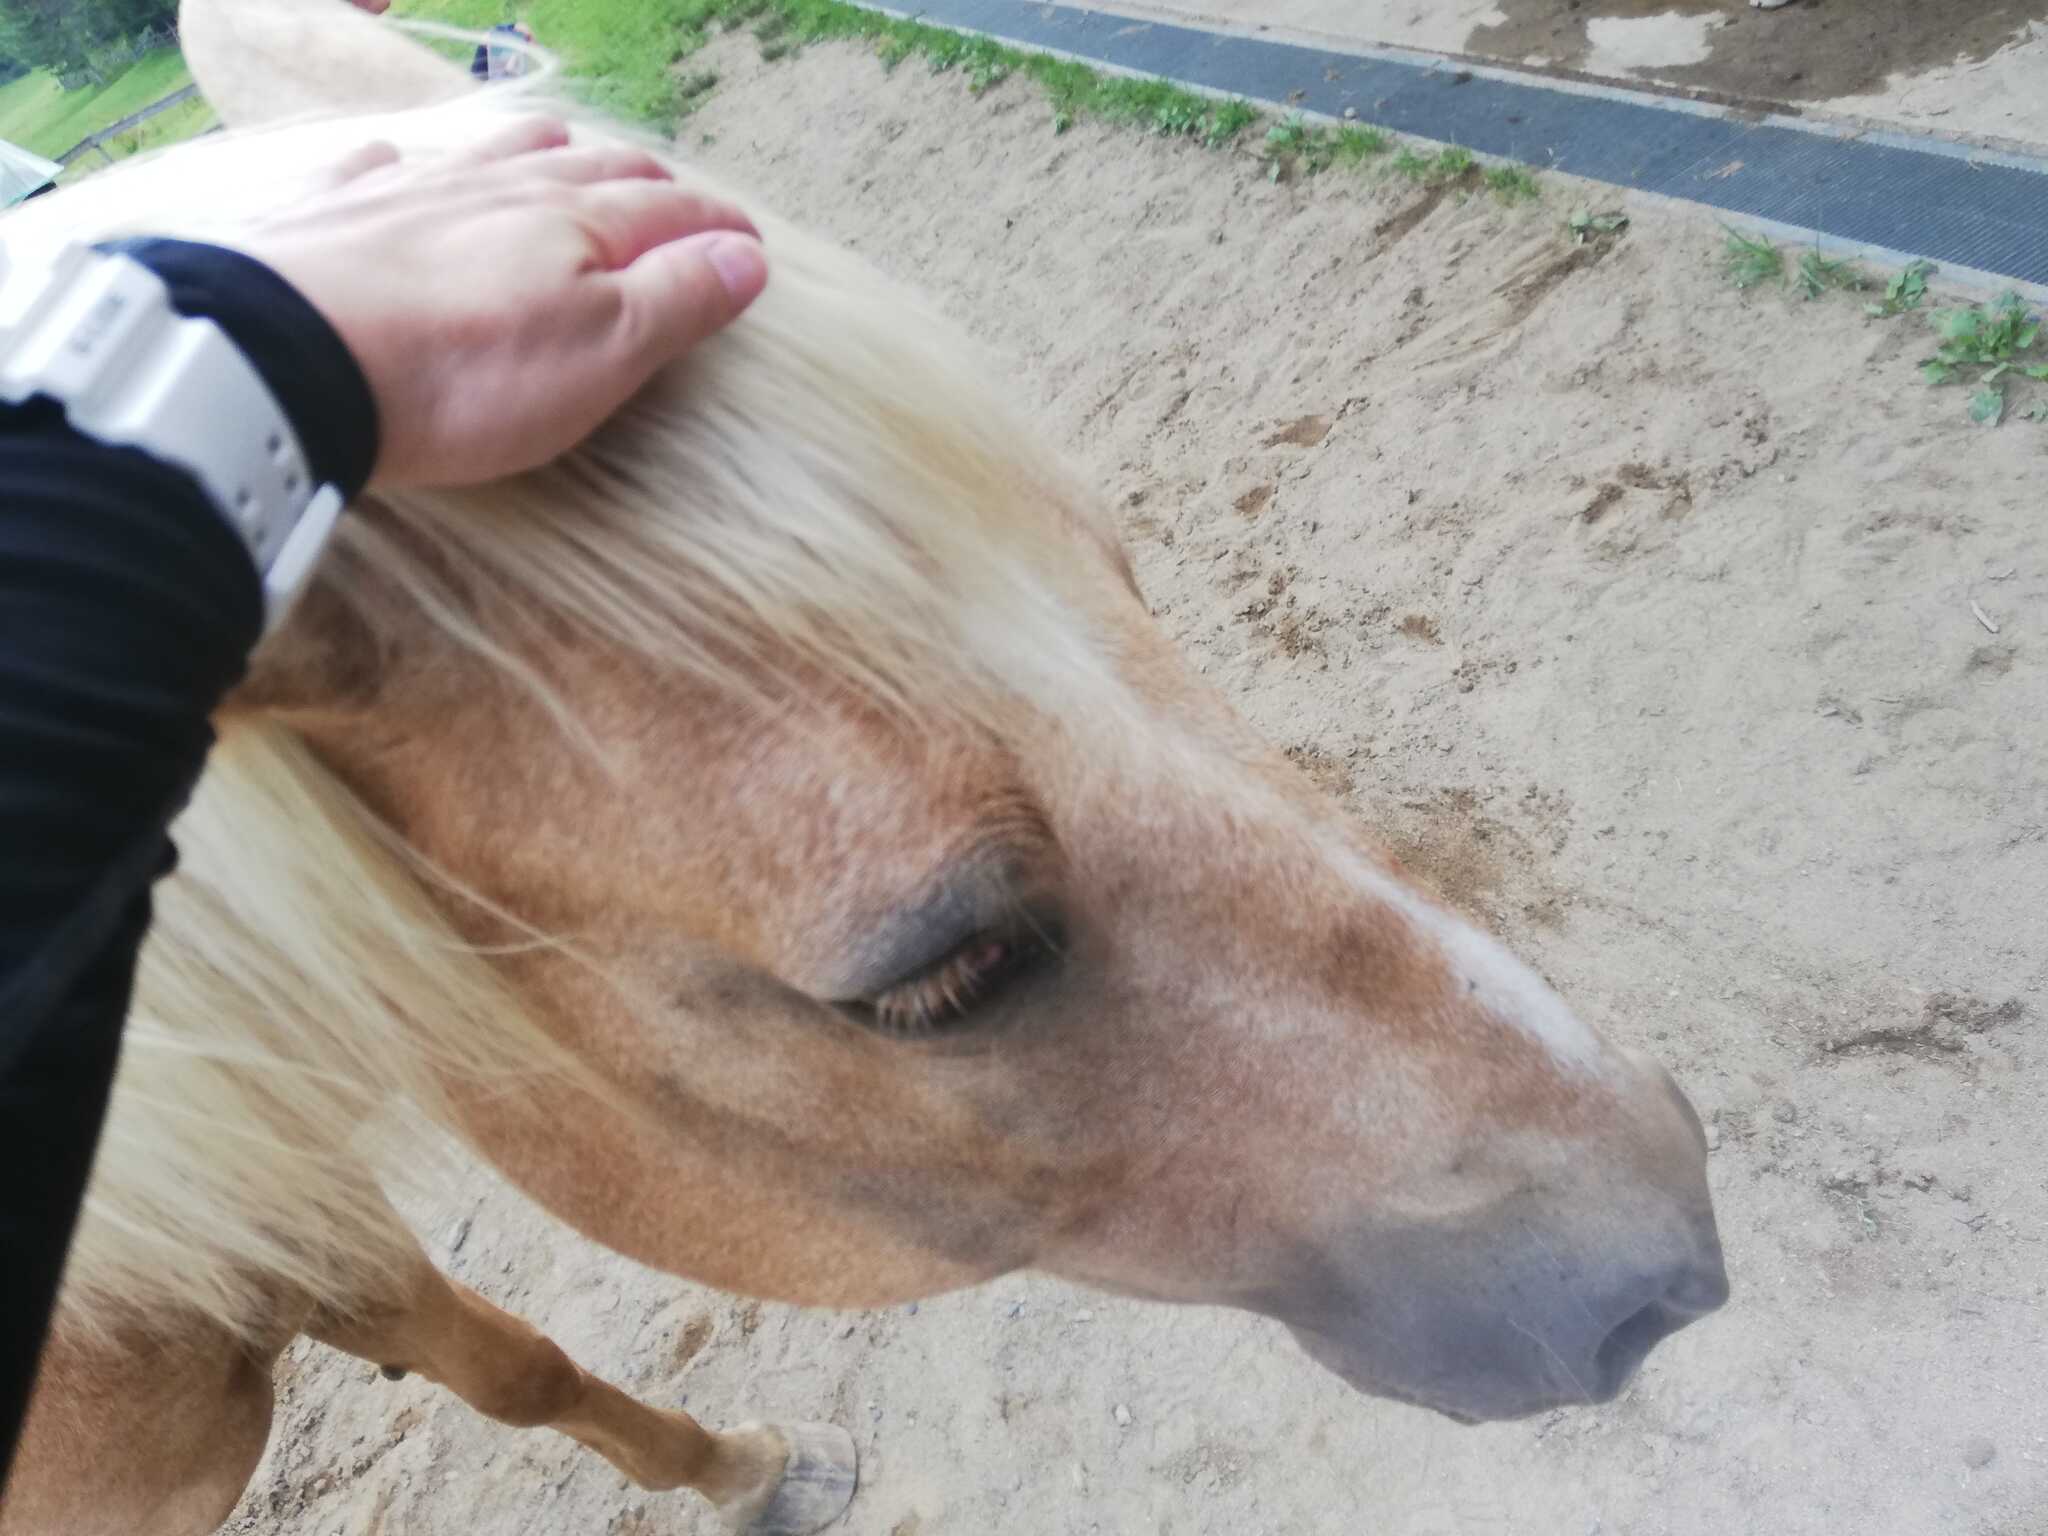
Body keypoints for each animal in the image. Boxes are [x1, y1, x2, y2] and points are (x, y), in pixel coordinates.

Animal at [0, 1, 1727, 1531]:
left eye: (1126, 585)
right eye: (941, 974)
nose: (1663, 1256)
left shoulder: (298, 1237)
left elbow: (518, 1367)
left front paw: (753, 1474)